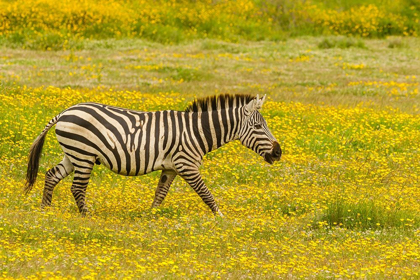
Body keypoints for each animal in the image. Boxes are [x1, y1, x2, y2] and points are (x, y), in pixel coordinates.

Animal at [25, 94, 282, 217]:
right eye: (259, 127)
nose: (279, 152)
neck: (197, 132)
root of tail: (65, 111)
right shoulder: (186, 165)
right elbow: (206, 194)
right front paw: (222, 217)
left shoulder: (170, 168)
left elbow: (160, 195)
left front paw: (151, 217)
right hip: (84, 154)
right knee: (77, 188)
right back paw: (87, 216)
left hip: (73, 154)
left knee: (51, 176)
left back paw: (45, 210)